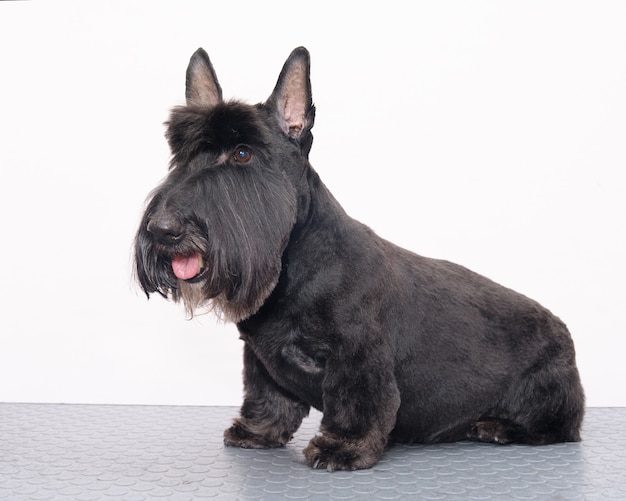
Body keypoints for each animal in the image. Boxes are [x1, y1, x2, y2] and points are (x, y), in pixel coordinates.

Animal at [134, 46, 584, 468]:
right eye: (181, 154)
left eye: (242, 154)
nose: (162, 230)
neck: (295, 267)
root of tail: (564, 332)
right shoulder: (261, 362)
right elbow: (268, 398)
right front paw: (257, 431)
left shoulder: (357, 357)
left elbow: (357, 402)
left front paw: (343, 447)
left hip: (546, 397)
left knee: (560, 427)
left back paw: (497, 426)